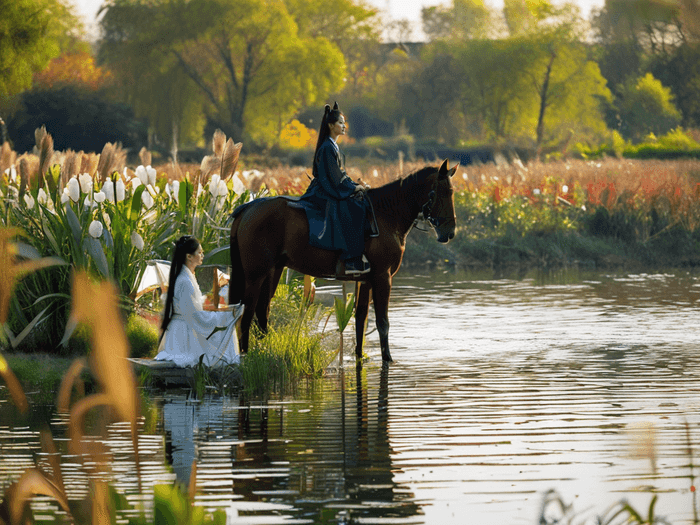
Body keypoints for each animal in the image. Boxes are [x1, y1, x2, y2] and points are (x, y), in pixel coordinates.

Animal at [231, 159, 460, 360]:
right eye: (445, 193)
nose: (450, 233)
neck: (387, 214)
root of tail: (247, 209)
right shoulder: (383, 277)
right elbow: (382, 322)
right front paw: (387, 359)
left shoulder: (366, 280)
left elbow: (360, 320)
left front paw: (360, 356)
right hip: (256, 275)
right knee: (246, 316)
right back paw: (247, 356)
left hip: (273, 271)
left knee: (261, 313)